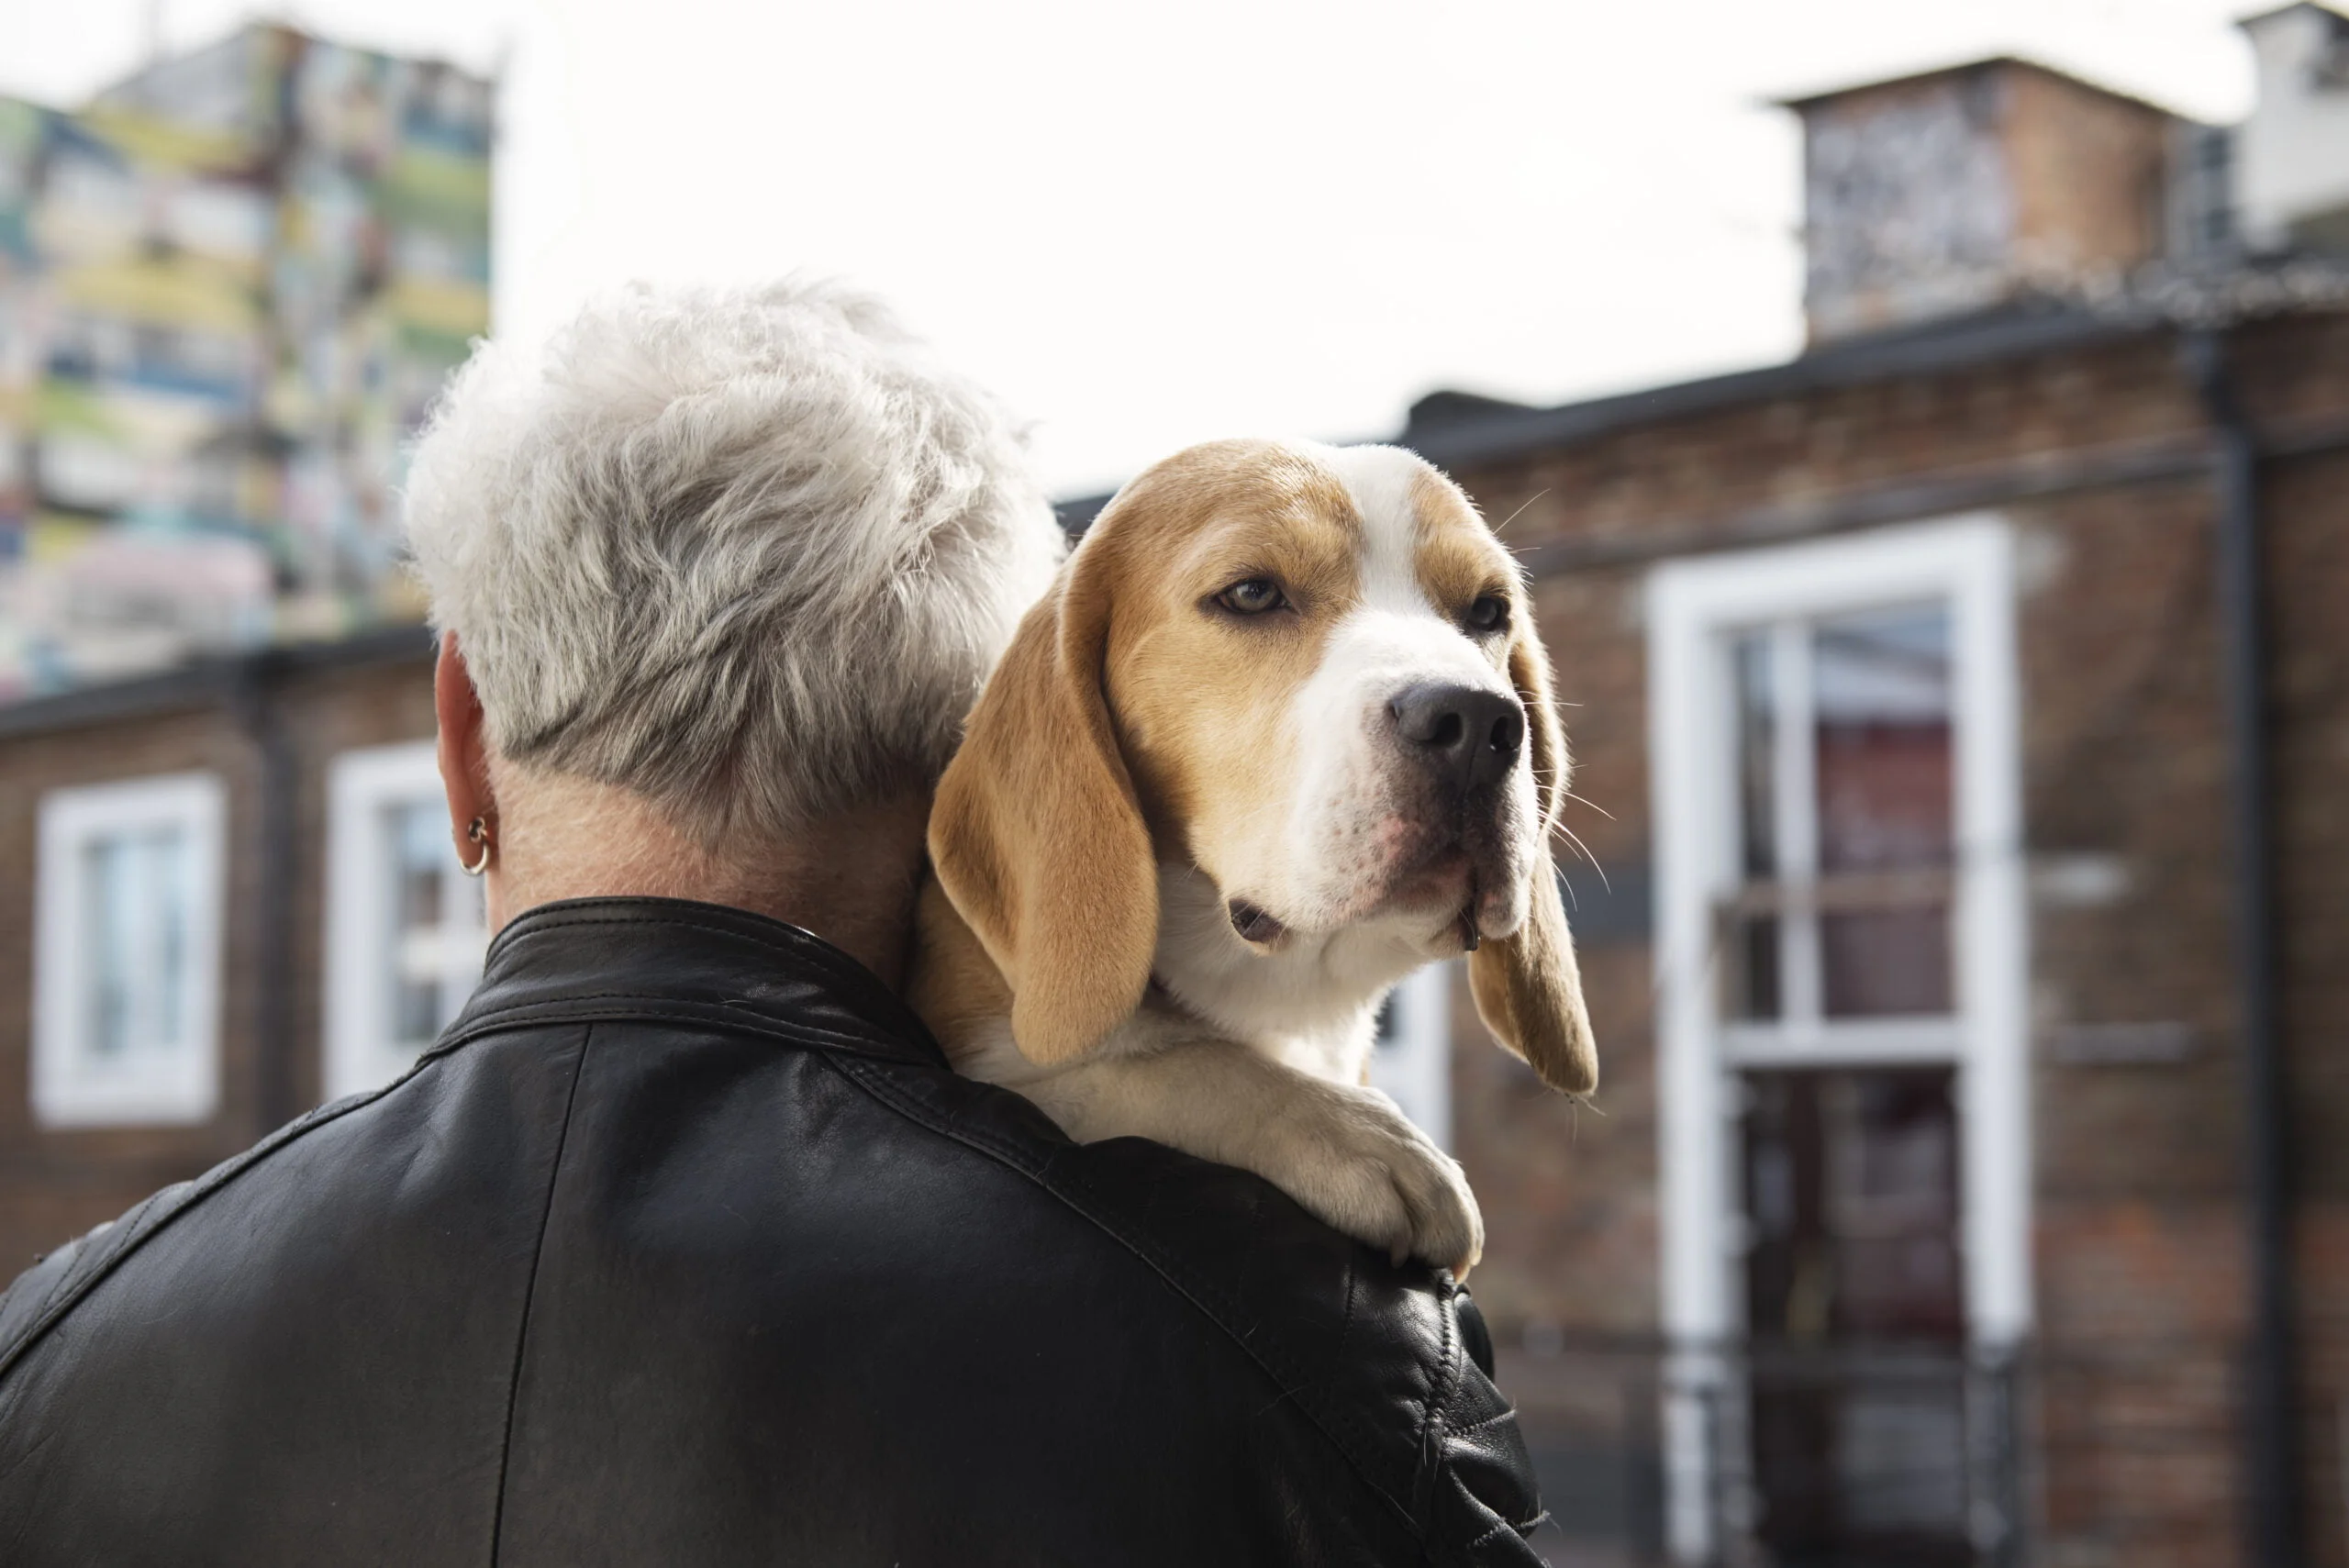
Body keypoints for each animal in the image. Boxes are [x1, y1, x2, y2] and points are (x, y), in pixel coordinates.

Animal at [896, 434, 1597, 1267]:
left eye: (1490, 610)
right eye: (1254, 594)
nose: (1476, 721)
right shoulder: (1000, 1061)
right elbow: (1164, 1067)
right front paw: (1354, 1131)